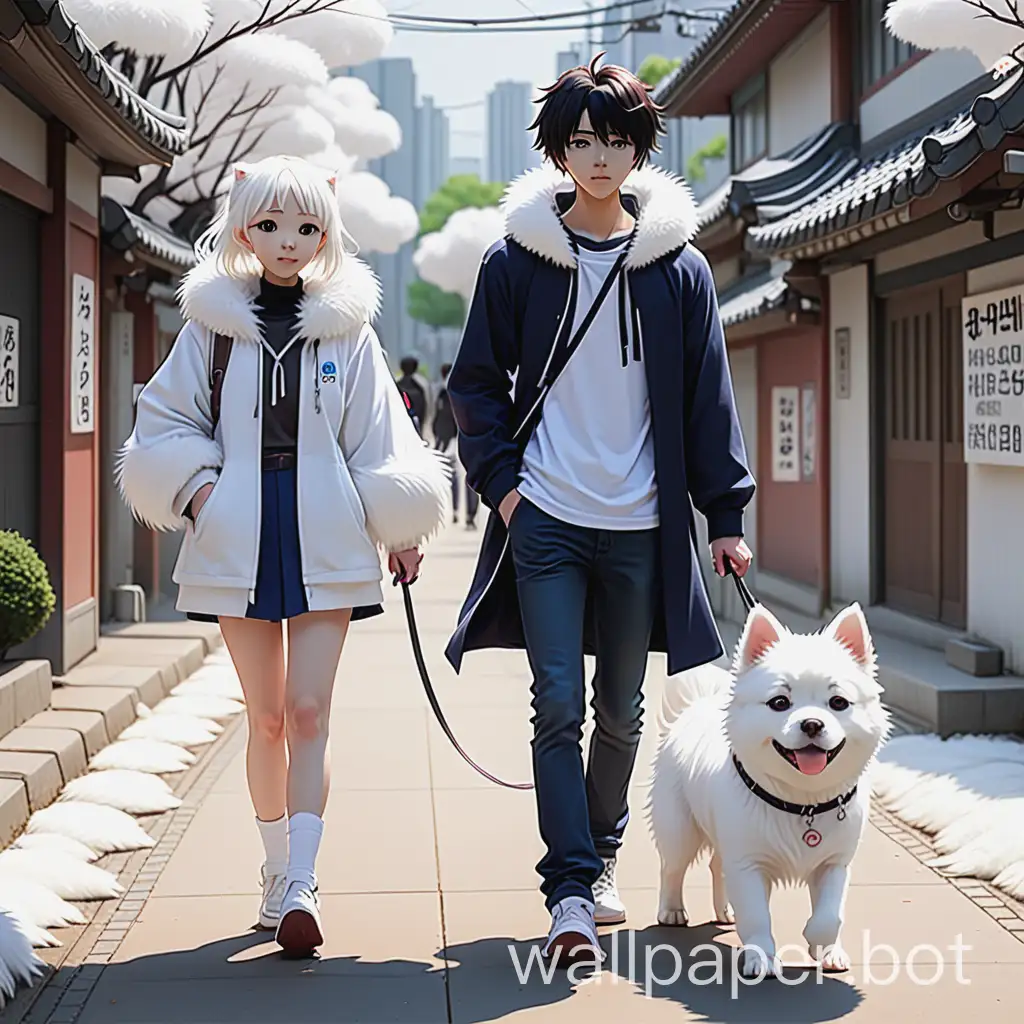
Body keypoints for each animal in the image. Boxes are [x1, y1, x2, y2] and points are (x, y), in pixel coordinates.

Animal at [647, 602, 888, 978]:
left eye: (838, 703)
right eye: (779, 703)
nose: (812, 723)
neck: (802, 802)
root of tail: (695, 707)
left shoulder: (834, 863)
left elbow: (829, 915)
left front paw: (823, 947)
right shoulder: (748, 863)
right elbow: (757, 915)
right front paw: (761, 957)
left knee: (717, 866)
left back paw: (725, 910)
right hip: (679, 829)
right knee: (672, 867)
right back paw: (672, 910)